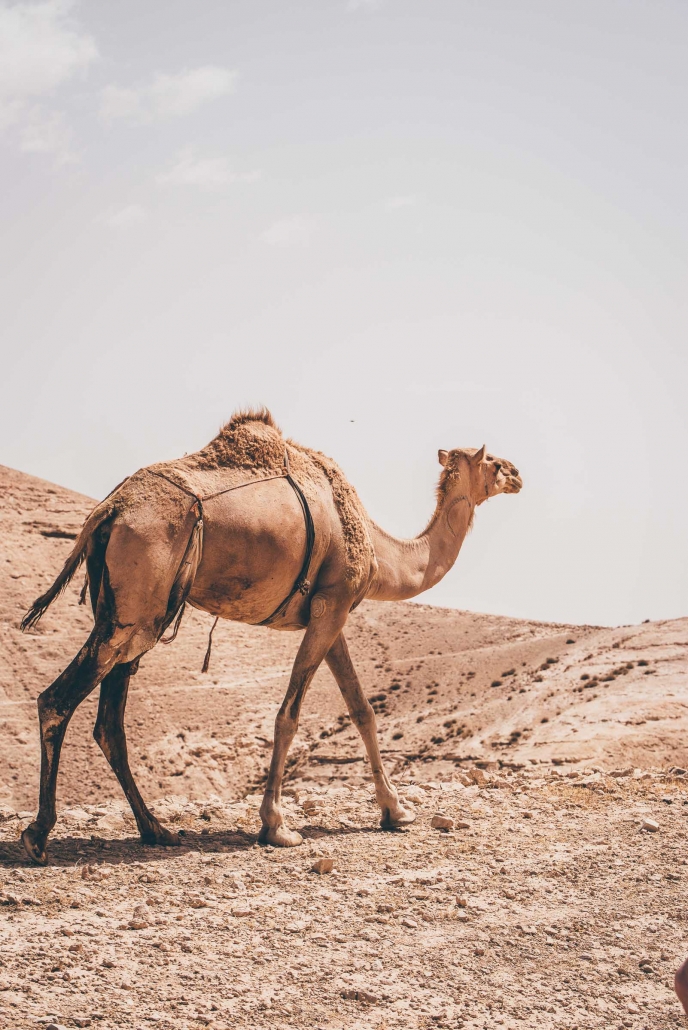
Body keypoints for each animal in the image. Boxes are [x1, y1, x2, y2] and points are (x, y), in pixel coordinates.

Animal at [20, 407, 521, 861]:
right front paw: (276, 826)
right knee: (58, 699)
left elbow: (362, 711)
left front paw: (395, 812)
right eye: (493, 462)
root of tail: (108, 511)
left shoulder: (331, 613)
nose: (518, 475)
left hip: (130, 613)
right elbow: (290, 715)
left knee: (109, 721)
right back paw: (38, 835)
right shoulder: (332, 604)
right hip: (136, 608)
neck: (381, 552)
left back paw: (156, 829)